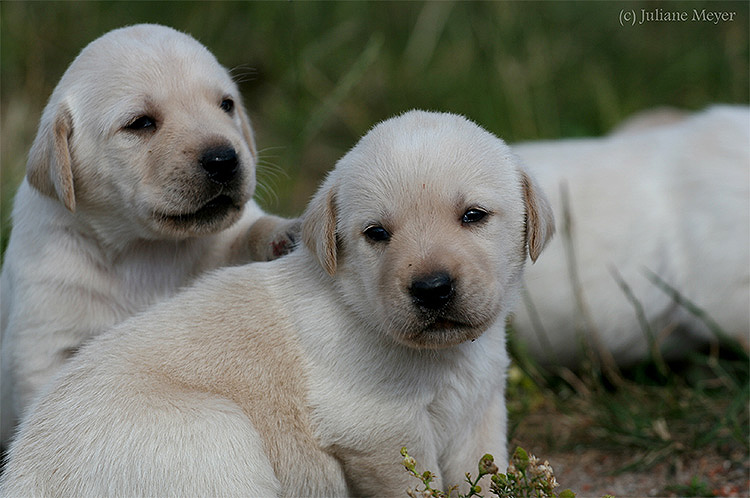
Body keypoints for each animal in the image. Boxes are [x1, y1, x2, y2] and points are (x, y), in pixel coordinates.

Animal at [0, 22, 300, 444]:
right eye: (141, 123)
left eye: (226, 105)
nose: (224, 159)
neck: (145, 250)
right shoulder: (44, 342)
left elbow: (246, 232)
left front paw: (283, 235)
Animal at [0, 111, 552, 496]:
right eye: (376, 234)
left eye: (473, 215)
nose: (432, 287)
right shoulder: (378, 427)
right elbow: (413, 482)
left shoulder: (480, 412)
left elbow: (483, 473)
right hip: (217, 435)